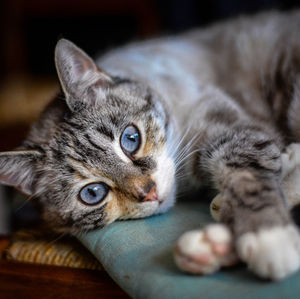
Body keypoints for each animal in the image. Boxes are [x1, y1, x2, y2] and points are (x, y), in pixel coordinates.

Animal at [0, 9, 300, 282]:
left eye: (130, 139)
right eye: (93, 193)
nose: (149, 192)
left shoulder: (225, 125)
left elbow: (247, 175)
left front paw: (269, 237)